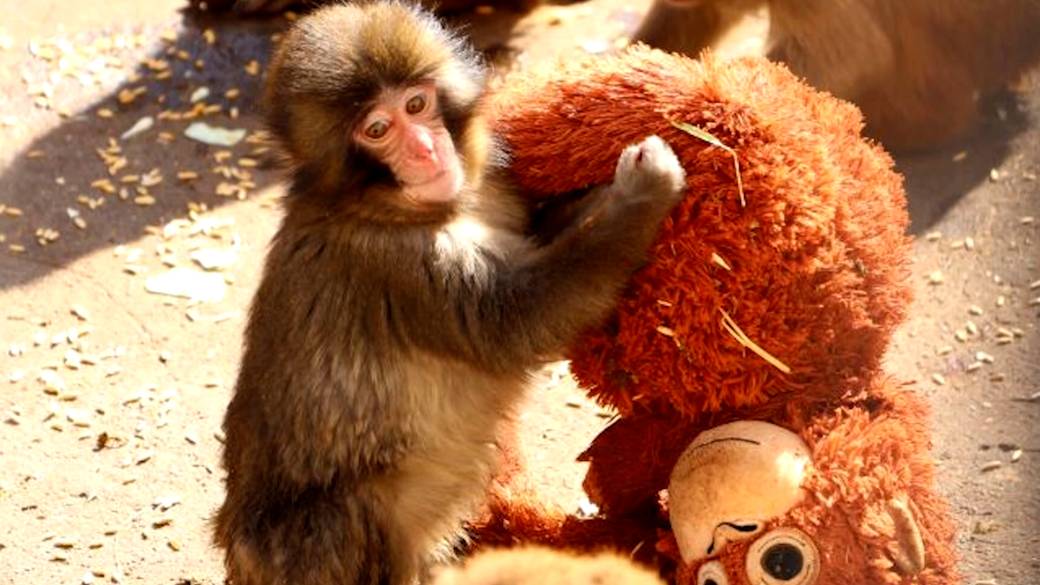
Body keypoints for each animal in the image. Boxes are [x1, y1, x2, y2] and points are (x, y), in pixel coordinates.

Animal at [211, 2, 687, 585]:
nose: (423, 149)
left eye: (417, 104)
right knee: (346, 515)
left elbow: (539, 236)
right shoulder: (395, 265)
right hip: (295, 553)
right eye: (377, 129)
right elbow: (513, 322)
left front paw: (604, 194)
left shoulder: (493, 186)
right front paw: (644, 192)